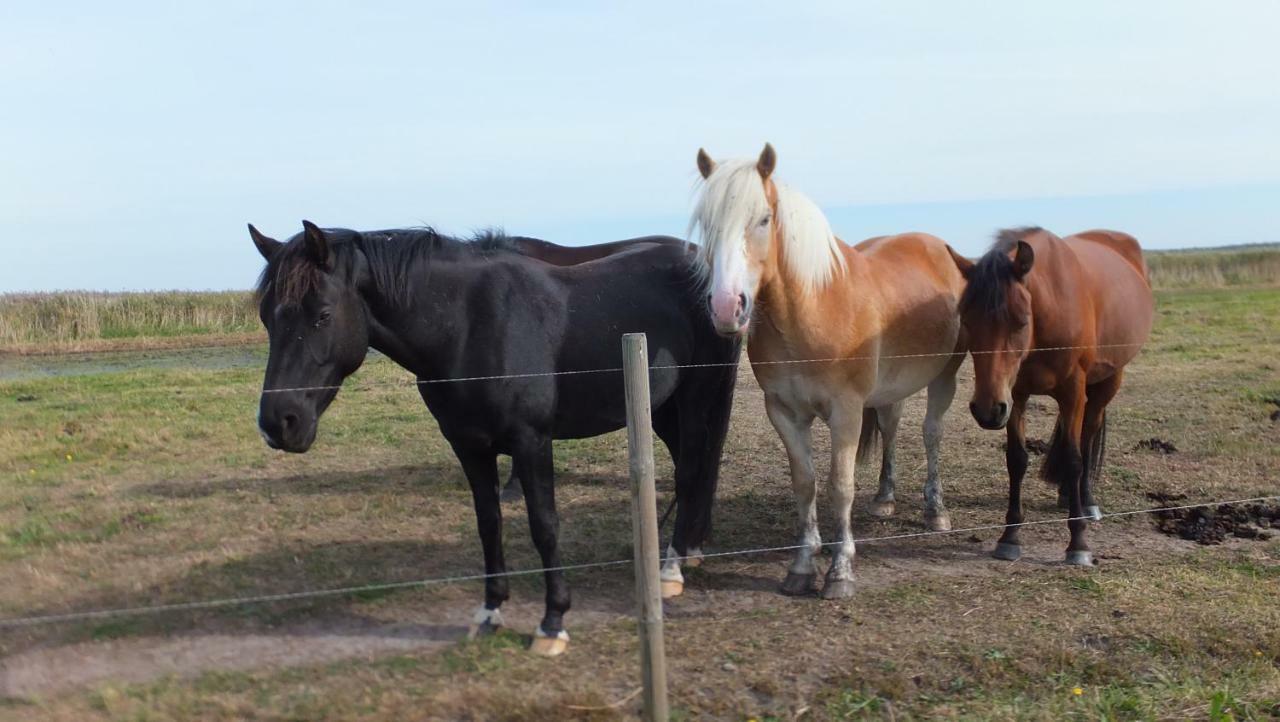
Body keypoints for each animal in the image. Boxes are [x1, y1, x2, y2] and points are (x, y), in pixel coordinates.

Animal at [247, 221, 742, 655]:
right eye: (267, 318)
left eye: (323, 315)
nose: (279, 423)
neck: (468, 326)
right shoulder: (469, 446)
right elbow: (489, 523)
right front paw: (490, 613)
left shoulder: (531, 442)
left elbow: (544, 525)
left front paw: (552, 623)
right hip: (662, 406)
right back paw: (688, 549)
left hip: (696, 398)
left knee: (692, 470)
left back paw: (672, 569)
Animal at [696, 144, 962, 601]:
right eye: (706, 223)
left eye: (764, 219)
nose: (727, 307)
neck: (813, 308)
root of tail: (939, 248)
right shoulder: (783, 412)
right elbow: (805, 483)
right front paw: (802, 567)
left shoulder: (846, 412)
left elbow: (840, 485)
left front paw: (840, 571)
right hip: (891, 388)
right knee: (892, 427)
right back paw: (885, 499)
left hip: (945, 374)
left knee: (932, 434)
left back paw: (936, 511)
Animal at [952, 227, 1162, 565]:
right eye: (967, 320)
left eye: (1021, 321)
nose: (987, 410)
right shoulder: (1015, 395)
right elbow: (1017, 459)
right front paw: (1010, 536)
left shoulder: (1072, 392)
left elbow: (1075, 459)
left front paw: (1078, 543)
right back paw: (1067, 494)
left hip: (1107, 382)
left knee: (1087, 436)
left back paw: (1085, 500)